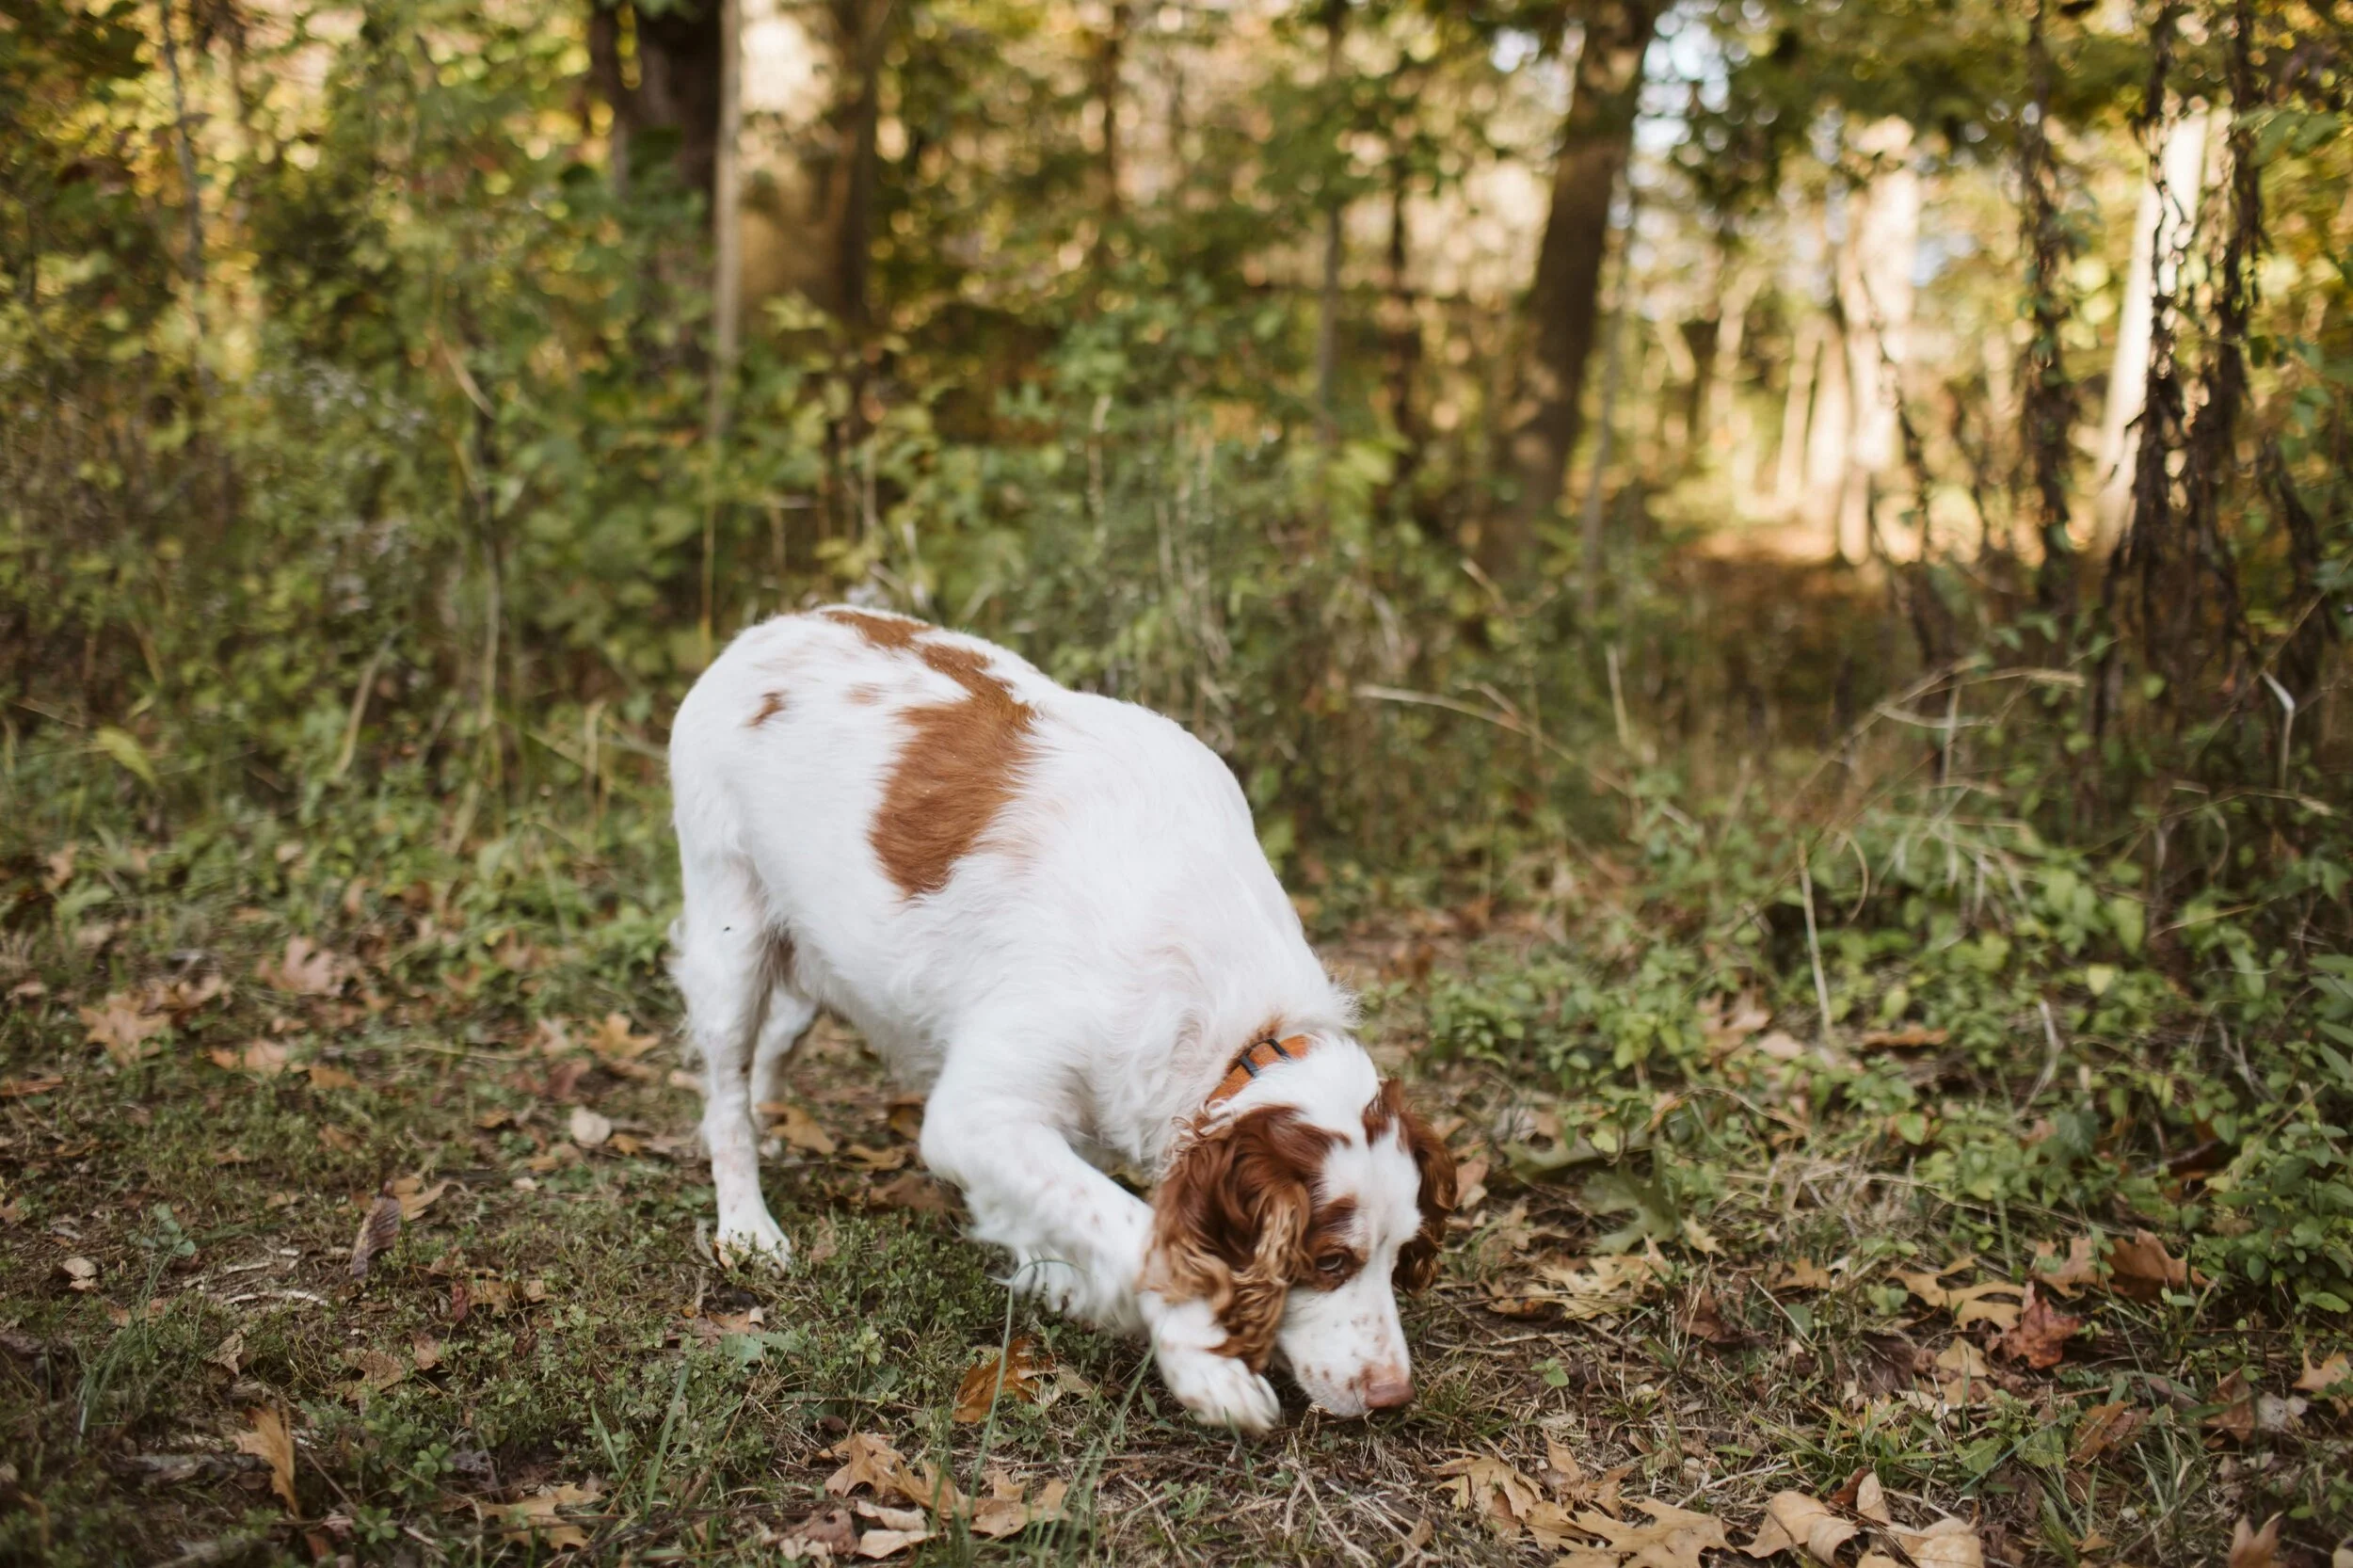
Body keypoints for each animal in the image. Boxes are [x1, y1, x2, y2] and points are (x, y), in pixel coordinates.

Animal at [664, 607, 1459, 1431]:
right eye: (1329, 1260)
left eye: (1400, 1254)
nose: (1393, 1396)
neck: (1238, 1022)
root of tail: (773, 624)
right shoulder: (974, 1115)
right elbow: (1135, 1229)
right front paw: (1203, 1361)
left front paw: (1056, 1273)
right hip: (730, 930)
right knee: (724, 1095)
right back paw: (746, 1225)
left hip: (815, 957)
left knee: (777, 1041)